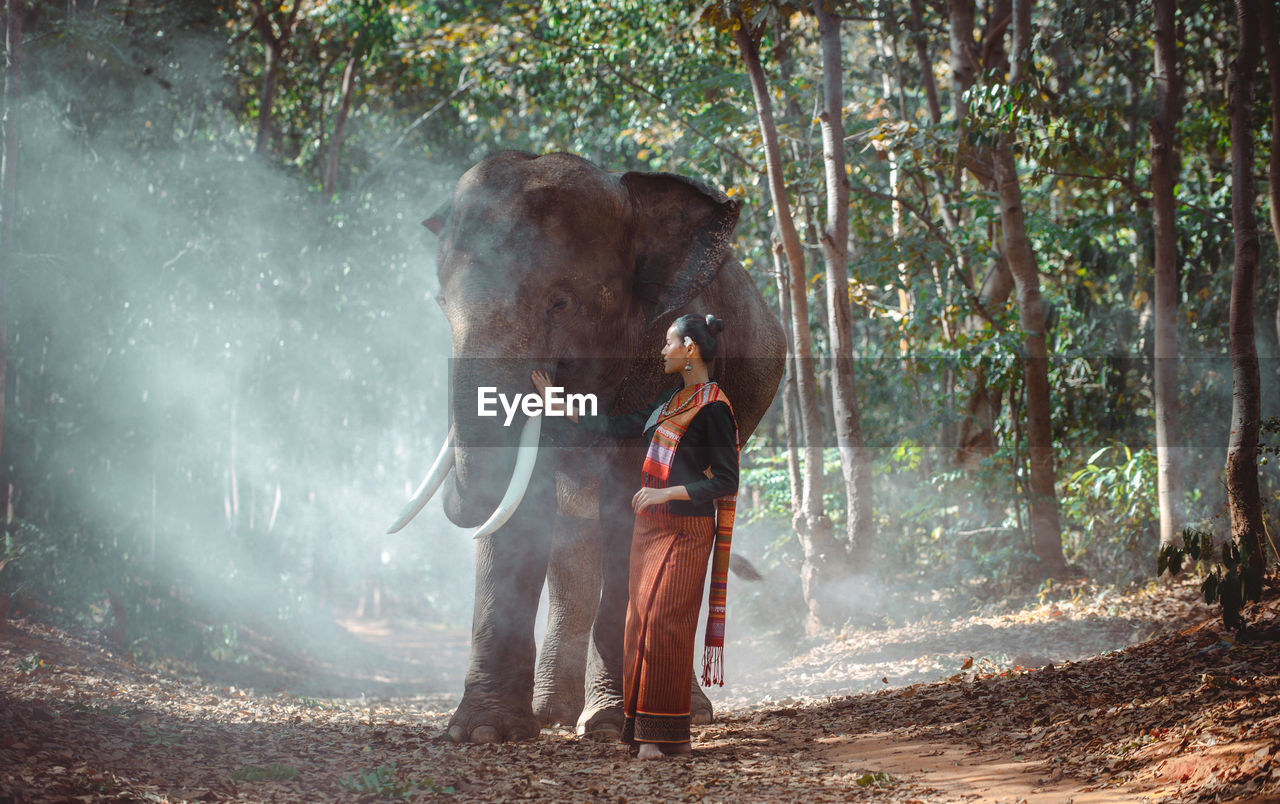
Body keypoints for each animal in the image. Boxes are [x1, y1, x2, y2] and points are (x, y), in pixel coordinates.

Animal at [389, 151, 783, 742]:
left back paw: (680, 713)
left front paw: (608, 724)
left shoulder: (654, 365)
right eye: (440, 303)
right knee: (574, 544)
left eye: (560, 302)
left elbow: (630, 504)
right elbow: (524, 511)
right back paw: (555, 712)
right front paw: (482, 733)